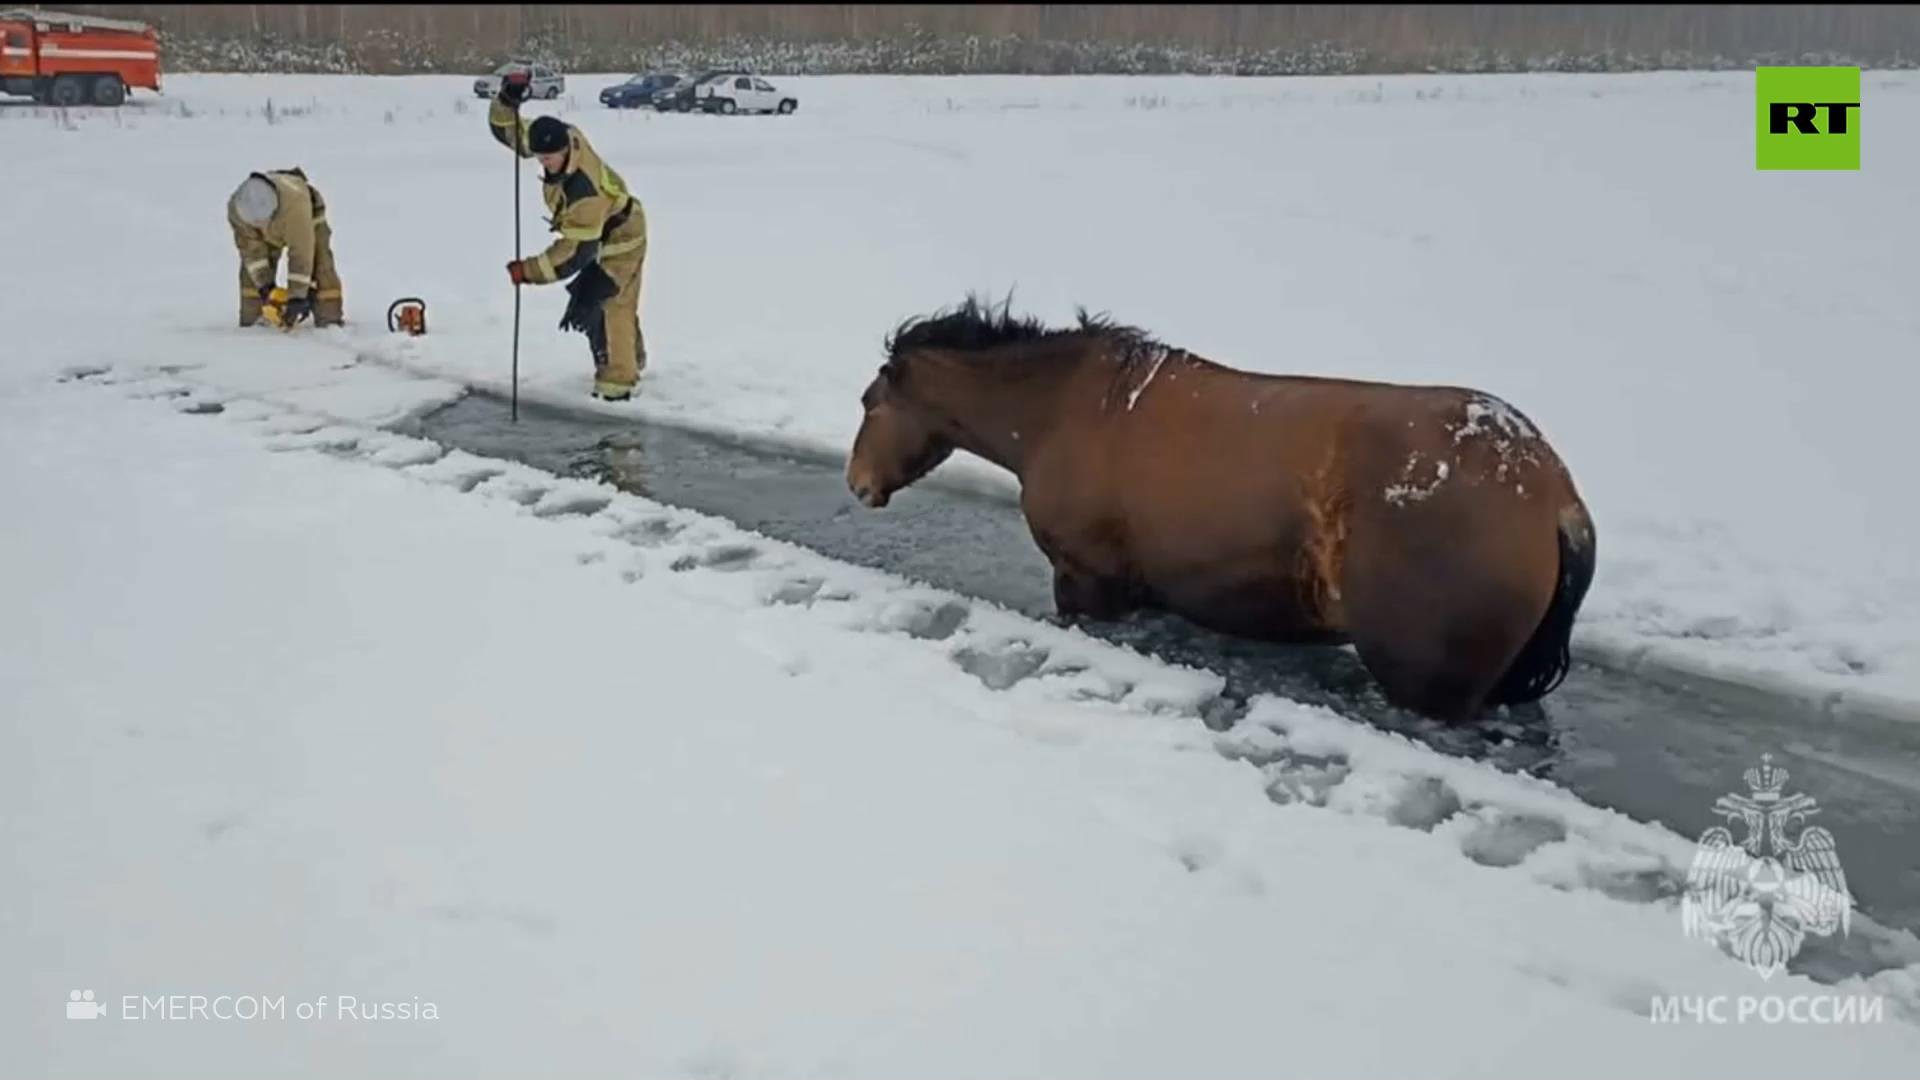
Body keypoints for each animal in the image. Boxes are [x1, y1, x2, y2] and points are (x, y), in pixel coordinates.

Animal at [848, 294, 1597, 722]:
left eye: (870, 403)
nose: (857, 483)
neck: (1058, 413)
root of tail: (1553, 497)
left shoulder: (1086, 582)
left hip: (1429, 683)